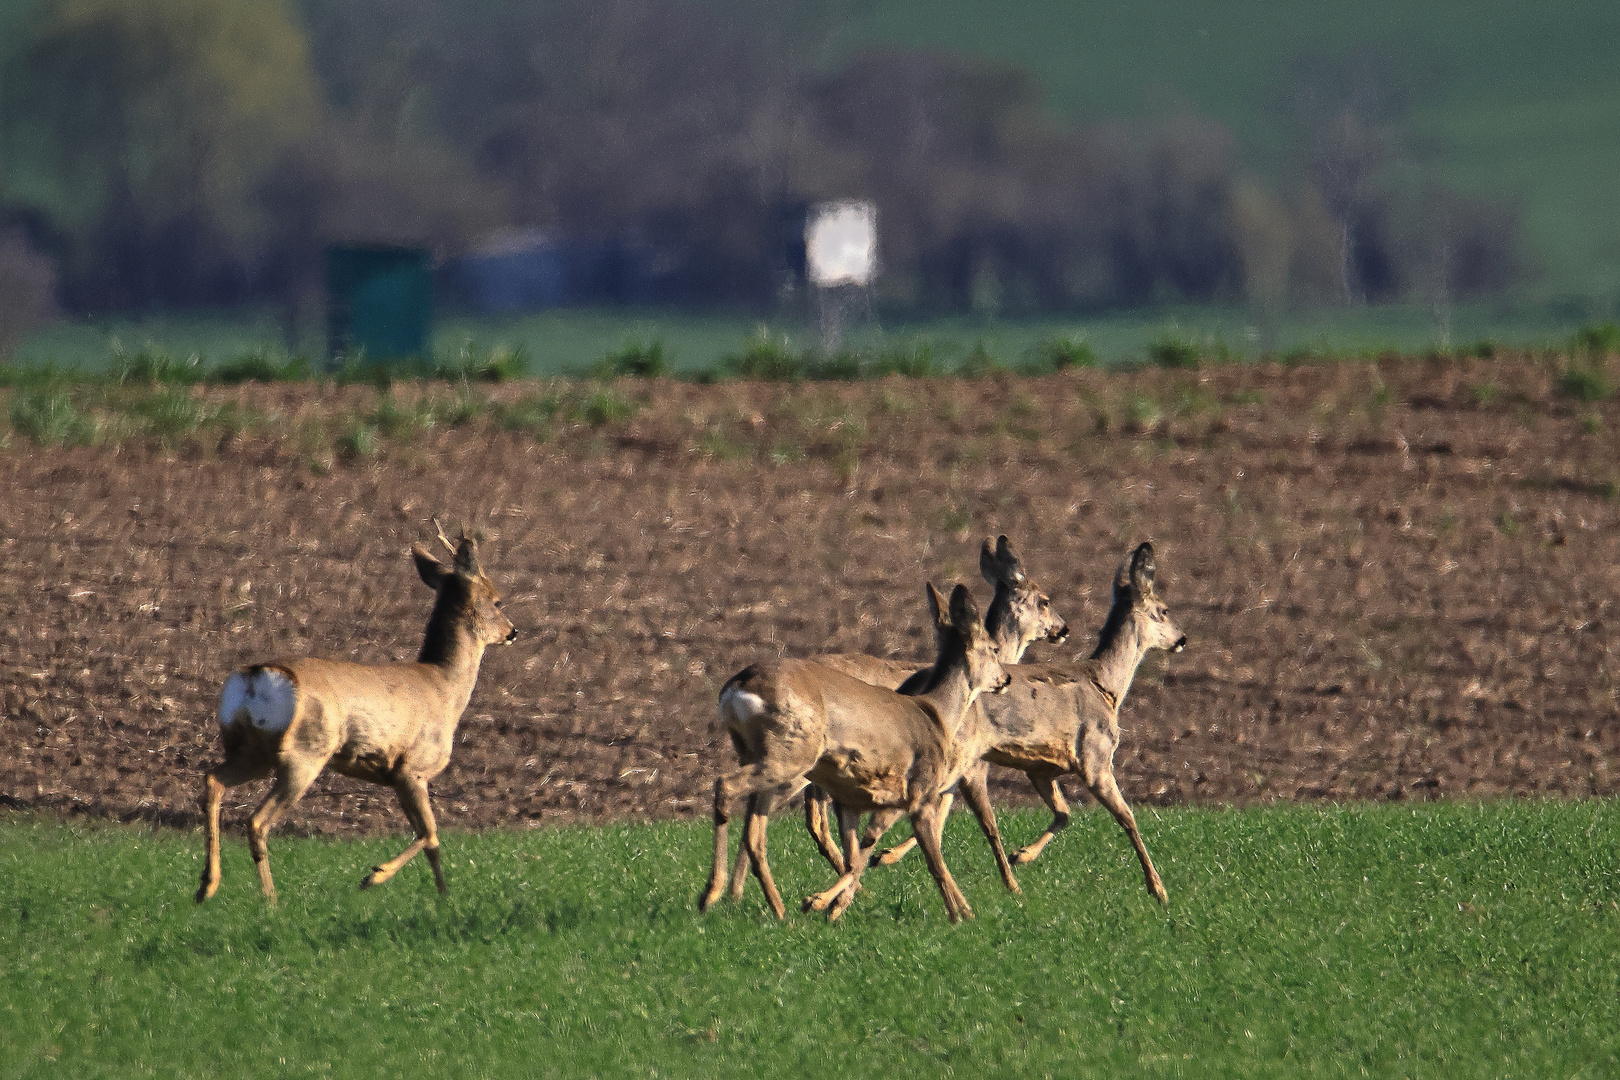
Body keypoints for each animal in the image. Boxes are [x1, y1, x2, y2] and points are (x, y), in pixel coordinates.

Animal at [194, 524, 518, 906]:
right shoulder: (413, 768)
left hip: (250, 749)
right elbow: (431, 833)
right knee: (258, 820)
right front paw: (374, 877)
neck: (444, 687)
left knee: (213, 782)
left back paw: (207, 885)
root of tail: (256, 677)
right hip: (305, 754)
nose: (513, 631)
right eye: (497, 600)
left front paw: (443, 896)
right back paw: (271, 899)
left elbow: (431, 840)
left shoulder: (395, 775)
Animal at [699, 586, 1004, 926]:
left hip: (757, 753)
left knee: (754, 831)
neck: (936, 716)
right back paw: (713, 893)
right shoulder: (920, 793)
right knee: (726, 786)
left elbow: (854, 858)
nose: (1005, 678)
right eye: (993, 648)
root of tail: (737, 687)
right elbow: (933, 859)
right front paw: (959, 915)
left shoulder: (852, 800)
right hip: (790, 755)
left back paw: (777, 910)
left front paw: (828, 906)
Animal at [790, 537, 1069, 893]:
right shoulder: (968, 763)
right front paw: (1012, 884)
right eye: (1044, 601)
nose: (1063, 629)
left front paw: (888, 856)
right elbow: (982, 822)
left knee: (815, 816)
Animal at [965, 540, 1185, 906]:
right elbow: (1128, 818)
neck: (1105, 684)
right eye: (1164, 610)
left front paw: (1021, 854)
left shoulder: (1042, 766)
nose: (1182, 638)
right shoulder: (1096, 759)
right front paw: (1159, 889)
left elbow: (1065, 813)